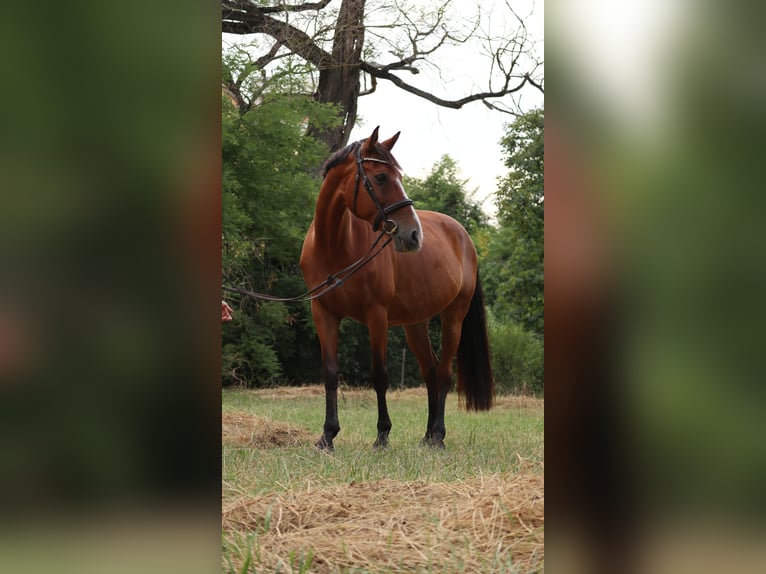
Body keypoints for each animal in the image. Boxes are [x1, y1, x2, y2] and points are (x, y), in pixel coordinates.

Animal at [300, 127, 494, 451]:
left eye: (399, 177)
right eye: (380, 177)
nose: (413, 234)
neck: (334, 246)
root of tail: (463, 236)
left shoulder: (376, 315)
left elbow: (380, 375)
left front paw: (382, 435)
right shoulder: (323, 313)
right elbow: (330, 373)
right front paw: (327, 436)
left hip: (453, 318)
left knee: (443, 374)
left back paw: (438, 436)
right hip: (415, 324)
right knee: (430, 371)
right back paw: (426, 436)